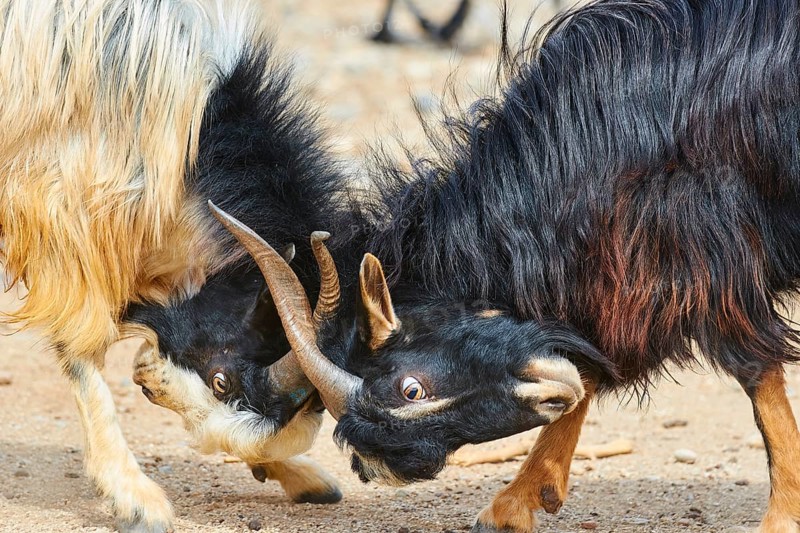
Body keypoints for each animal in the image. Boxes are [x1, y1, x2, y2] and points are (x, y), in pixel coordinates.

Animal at [0, 0, 361, 529]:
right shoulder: (58, 204)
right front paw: (134, 498)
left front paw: (300, 476)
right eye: (221, 379)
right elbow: (79, 347)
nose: (144, 378)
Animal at [213, 0, 800, 531]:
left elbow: (755, 373)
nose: (376, 469)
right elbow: (585, 366)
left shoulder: (706, 256)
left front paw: (781, 516)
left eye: (411, 389)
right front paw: (514, 504)